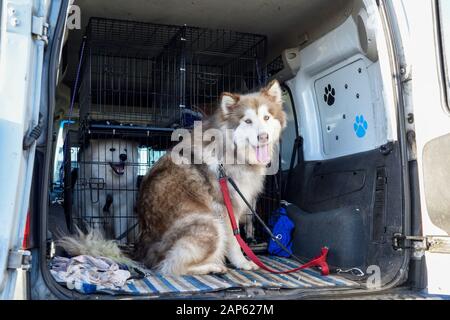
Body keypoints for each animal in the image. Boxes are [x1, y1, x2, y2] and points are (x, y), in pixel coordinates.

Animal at [59, 81, 284, 276]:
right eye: (247, 121)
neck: (230, 150)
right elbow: (236, 243)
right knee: (170, 267)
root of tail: (141, 253)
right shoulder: (226, 210)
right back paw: (212, 266)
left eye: (266, 117)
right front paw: (244, 263)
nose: (263, 137)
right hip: (210, 223)